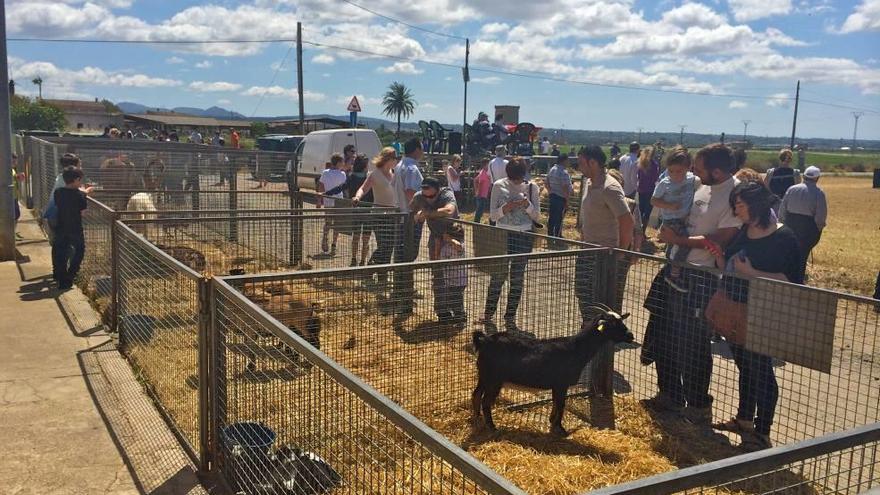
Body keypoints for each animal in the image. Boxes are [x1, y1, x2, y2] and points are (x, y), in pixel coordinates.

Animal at [474, 308, 632, 436]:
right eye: (613, 324)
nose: (631, 336)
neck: (576, 348)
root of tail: (485, 340)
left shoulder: (557, 385)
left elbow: (556, 402)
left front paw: (552, 421)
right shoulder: (562, 383)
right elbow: (561, 404)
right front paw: (560, 429)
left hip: (484, 375)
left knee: (476, 394)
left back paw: (477, 417)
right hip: (494, 379)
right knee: (485, 401)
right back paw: (492, 427)